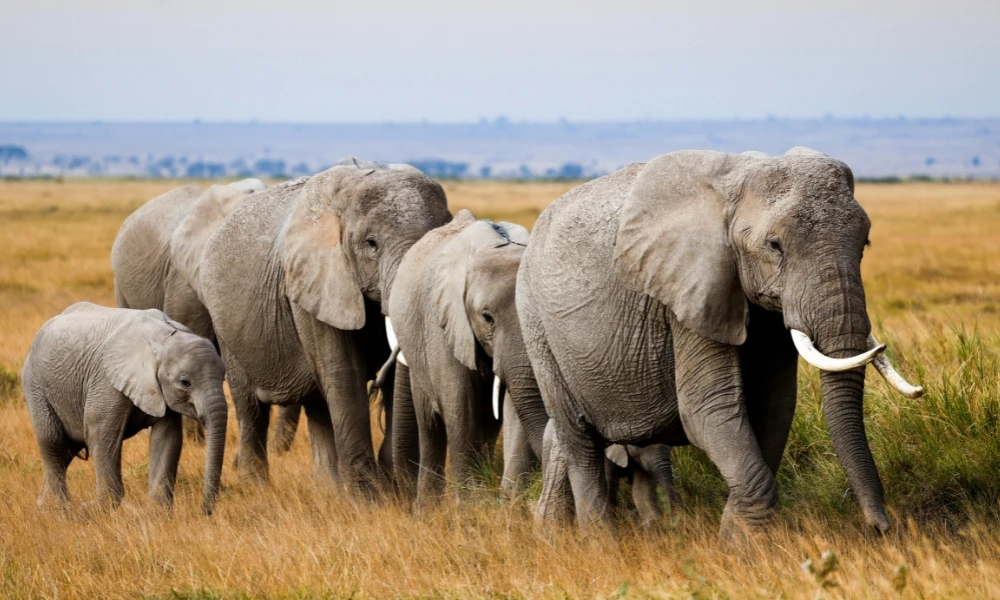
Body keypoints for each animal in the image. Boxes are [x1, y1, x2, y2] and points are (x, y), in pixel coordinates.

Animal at [21, 303, 228, 515]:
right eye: (185, 382)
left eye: (224, 376)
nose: (205, 512)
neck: (164, 338)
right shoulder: (107, 381)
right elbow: (101, 434)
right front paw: (92, 510)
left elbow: (168, 438)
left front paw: (157, 514)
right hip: (35, 385)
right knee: (53, 443)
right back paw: (59, 511)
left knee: (66, 451)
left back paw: (45, 508)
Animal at [200, 158, 451, 495]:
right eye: (371, 244)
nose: (396, 481)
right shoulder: (313, 284)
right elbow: (343, 372)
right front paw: (368, 498)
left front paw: (389, 491)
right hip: (226, 326)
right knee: (251, 406)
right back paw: (258, 487)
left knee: (317, 404)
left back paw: (327, 489)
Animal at [517, 148, 923, 536]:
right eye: (774, 245)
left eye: (865, 243)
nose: (880, 528)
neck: (738, 181)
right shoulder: (688, 292)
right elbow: (708, 407)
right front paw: (739, 546)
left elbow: (774, 406)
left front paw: (739, 537)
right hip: (535, 322)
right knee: (579, 441)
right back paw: (601, 545)